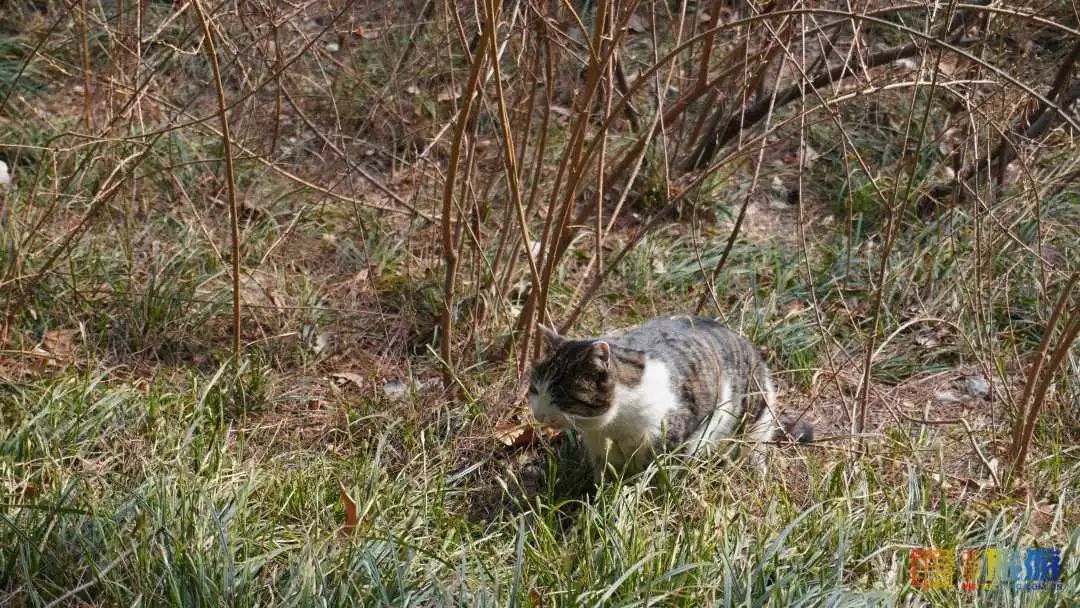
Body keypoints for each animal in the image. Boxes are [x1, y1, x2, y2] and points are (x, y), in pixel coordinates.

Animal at [522, 313, 812, 481]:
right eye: (534, 389)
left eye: (560, 397)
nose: (538, 414)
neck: (612, 425)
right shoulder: (600, 453)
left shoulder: (675, 438)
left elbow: (660, 478)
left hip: (754, 419)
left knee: (755, 448)